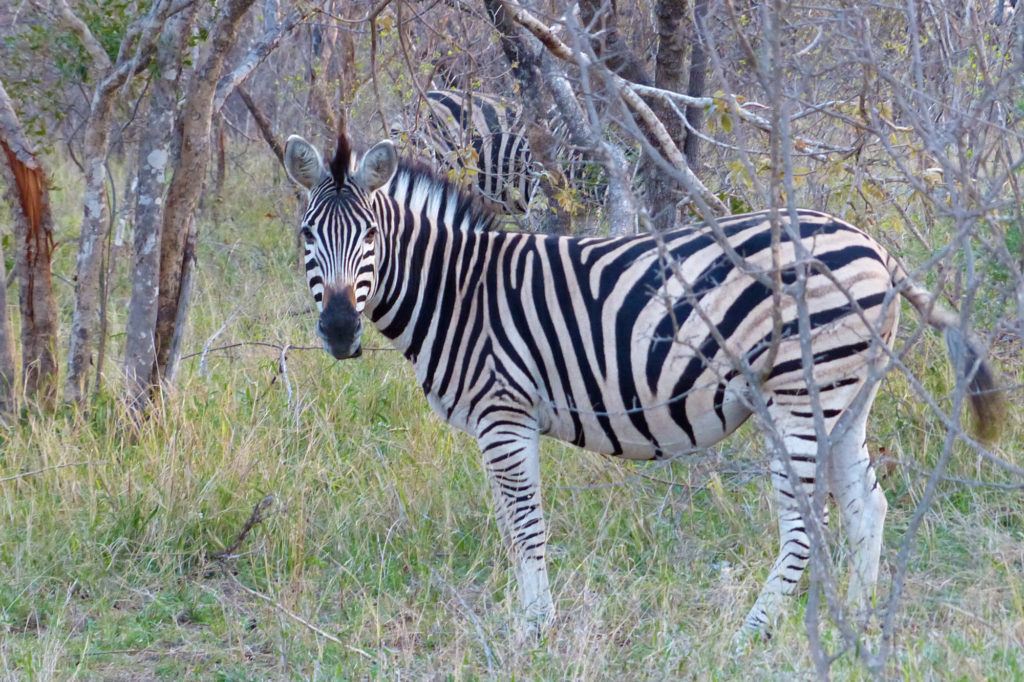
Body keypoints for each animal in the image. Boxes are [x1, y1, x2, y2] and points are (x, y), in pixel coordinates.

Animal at [281, 132, 1003, 642]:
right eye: (307, 234)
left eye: (372, 235)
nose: (339, 331)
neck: (459, 291)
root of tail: (876, 248)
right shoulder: (498, 423)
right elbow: (515, 529)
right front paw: (530, 623)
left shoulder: (504, 414)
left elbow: (526, 527)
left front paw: (533, 632)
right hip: (846, 394)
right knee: (865, 505)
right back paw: (860, 624)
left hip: (801, 394)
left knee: (806, 520)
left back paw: (752, 634)